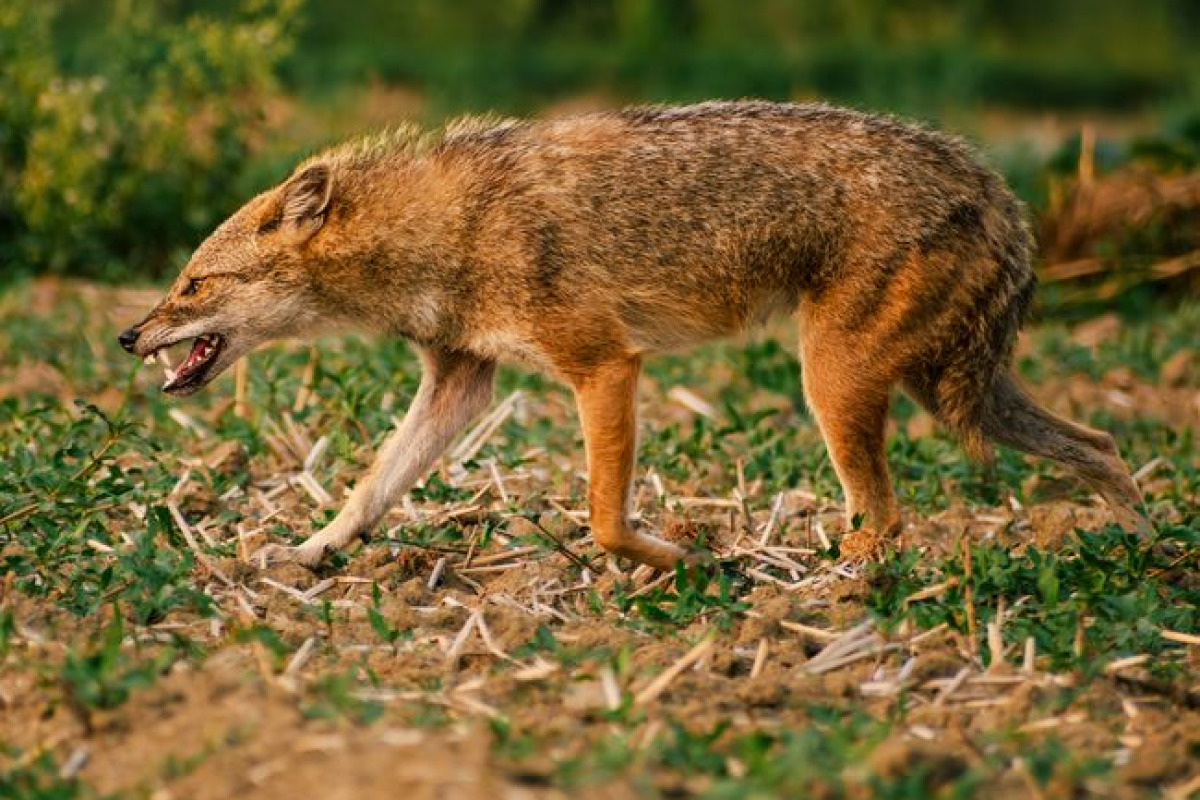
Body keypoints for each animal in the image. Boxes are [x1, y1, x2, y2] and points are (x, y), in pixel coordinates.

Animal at [118, 100, 1148, 570]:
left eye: (193, 283)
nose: (129, 335)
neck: (438, 233)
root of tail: (997, 190)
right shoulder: (462, 382)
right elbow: (372, 485)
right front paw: (310, 551)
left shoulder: (605, 365)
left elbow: (606, 520)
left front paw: (688, 561)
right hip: (950, 391)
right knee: (1101, 444)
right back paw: (1152, 548)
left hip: (840, 383)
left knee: (888, 519)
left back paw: (821, 588)